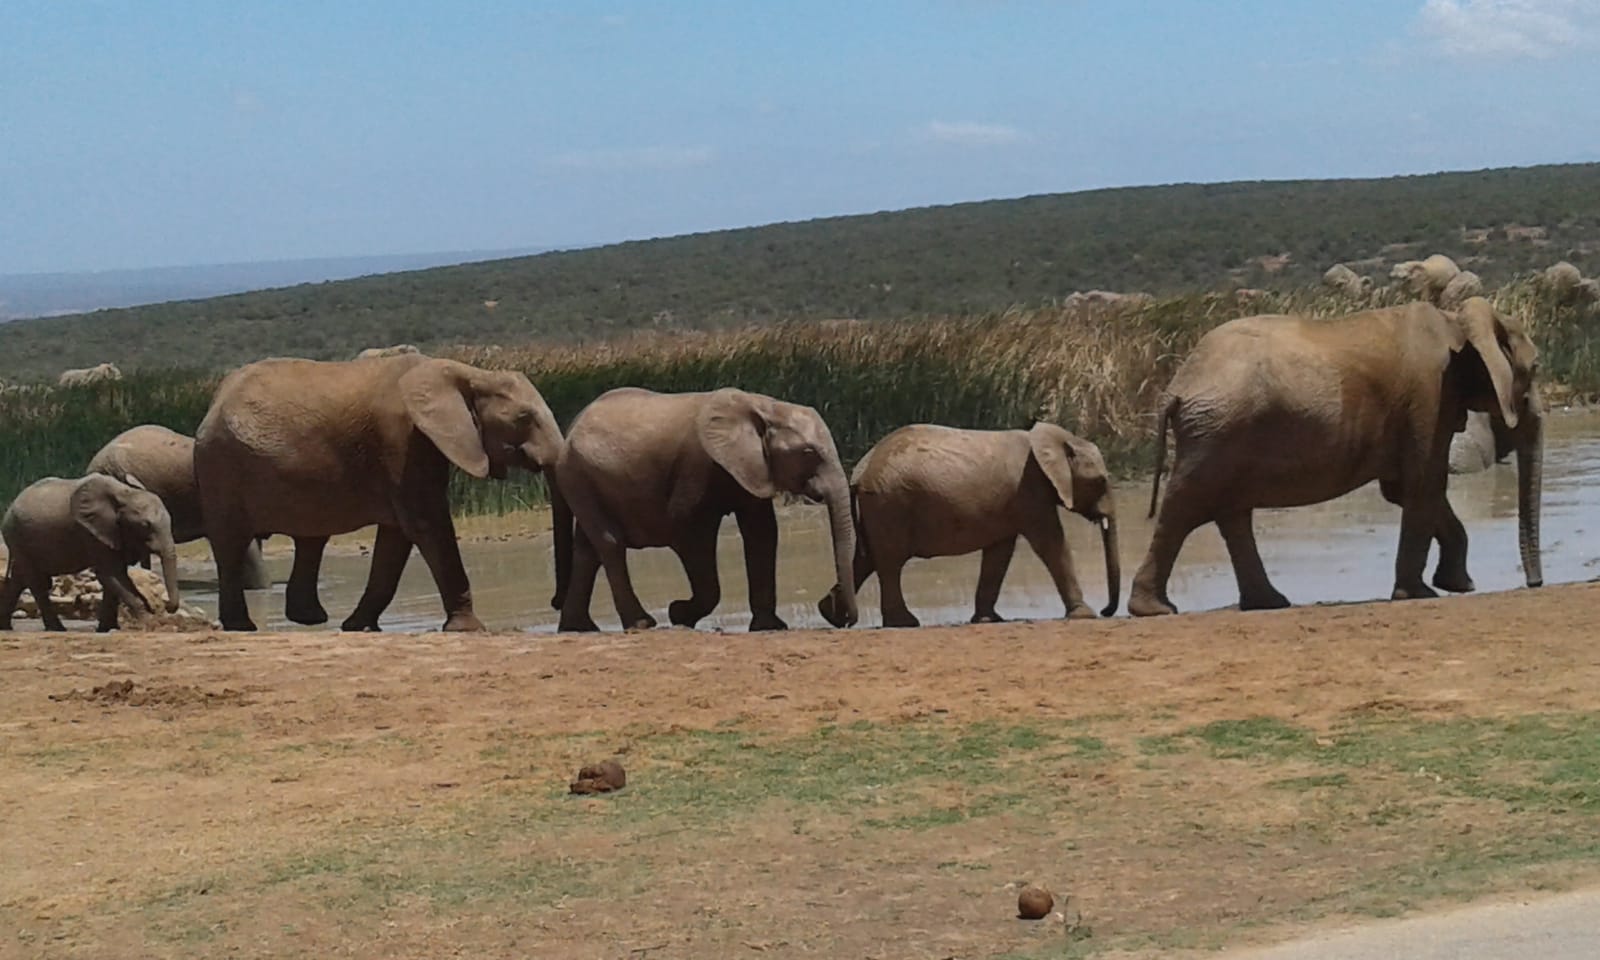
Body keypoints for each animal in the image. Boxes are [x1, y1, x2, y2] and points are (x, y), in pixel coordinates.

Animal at [1, 473, 181, 632]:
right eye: (145, 525)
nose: (167, 607)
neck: (124, 493)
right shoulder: (92, 533)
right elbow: (110, 573)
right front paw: (150, 622)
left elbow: (115, 577)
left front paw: (109, 629)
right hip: (16, 536)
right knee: (36, 581)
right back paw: (57, 629)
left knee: (19, 579)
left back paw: (6, 627)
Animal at [194, 354, 563, 632]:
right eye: (524, 417)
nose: (554, 603)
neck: (466, 373)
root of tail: (215, 401)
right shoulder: (402, 440)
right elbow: (426, 524)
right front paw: (469, 630)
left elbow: (396, 537)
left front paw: (358, 627)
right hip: (220, 468)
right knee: (230, 543)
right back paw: (243, 627)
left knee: (311, 538)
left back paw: (310, 619)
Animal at [549, 386, 857, 633]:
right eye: (808, 453)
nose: (839, 615)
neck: (764, 406)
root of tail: (571, 428)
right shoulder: (698, 467)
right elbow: (691, 535)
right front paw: (678, 612)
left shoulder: (752, 467)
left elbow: (761, 533)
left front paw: (770, 627)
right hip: (578, 476)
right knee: (610, 543)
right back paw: (641, 623)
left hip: (584, 479)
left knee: (588, 550)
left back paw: (579, 628)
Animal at [829, 422, 1120, 628]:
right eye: (1101, 481)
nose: (1106, 610)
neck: (1057, 439)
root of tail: (861, 470)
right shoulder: (1030, 492)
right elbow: (1051, 544)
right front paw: (1085, 615)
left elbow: (999, 553)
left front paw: (988, 619)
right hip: (890, 503)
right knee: (890, 562)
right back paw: (904, 622)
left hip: (879, 507)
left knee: (867, 559)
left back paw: (832, 614)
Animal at [1128, 296, 1541, 617]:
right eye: (1535, 368)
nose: (1535, 583)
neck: (1457, 322)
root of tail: (1177, 387)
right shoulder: (1430, 395)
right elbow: (1423, 483)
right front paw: (1422, 594)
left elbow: (1405, 489)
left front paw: (1459, 585)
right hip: (1217, 430)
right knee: (1187, 505)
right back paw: (1155, 609)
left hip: (1222, 433)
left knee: (1230, 512)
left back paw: (1269, 603)